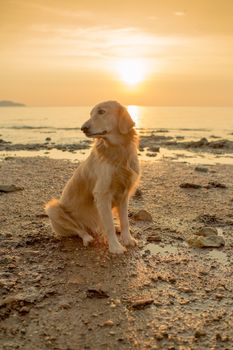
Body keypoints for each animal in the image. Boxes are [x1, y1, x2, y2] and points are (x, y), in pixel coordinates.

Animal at [45, 100, 140, 253]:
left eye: (101, 112)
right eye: (91, 114)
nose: (83, 128)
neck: (118, 150)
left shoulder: (124, 194)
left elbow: (125, 220)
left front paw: (127, 239)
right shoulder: (102, 194)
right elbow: (109, 225)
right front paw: (115, 247)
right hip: (53, 209)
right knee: (79, 230)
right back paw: (87, 238)